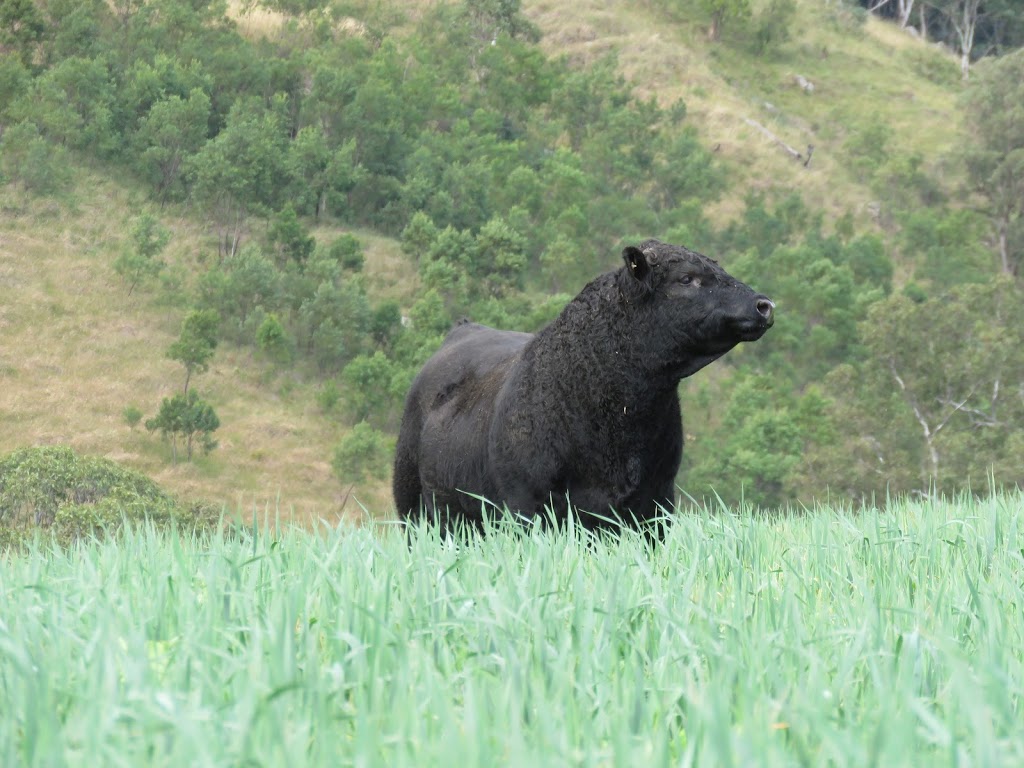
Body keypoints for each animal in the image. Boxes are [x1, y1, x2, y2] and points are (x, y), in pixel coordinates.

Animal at [387, 240, 770, 536]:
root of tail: (466, 328)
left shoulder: (654, 505)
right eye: (687, 279)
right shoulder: (527, 508)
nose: (764, 305)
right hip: (414, 511)